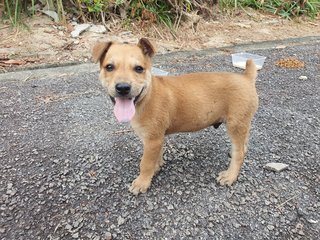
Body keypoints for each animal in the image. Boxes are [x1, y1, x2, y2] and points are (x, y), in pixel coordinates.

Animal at [91, 38, 258, 195]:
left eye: (139, 69)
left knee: (239, 153)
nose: (123, 88)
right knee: (243, 144)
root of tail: (246, 78)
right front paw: (155, 168)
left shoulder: (152, 139)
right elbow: (155, 157)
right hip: (243, 123)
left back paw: (230, 176)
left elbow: (145, 163)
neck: (146, 96)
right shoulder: (155, 139)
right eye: (109, 67)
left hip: (235, 124)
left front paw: (142, 182)